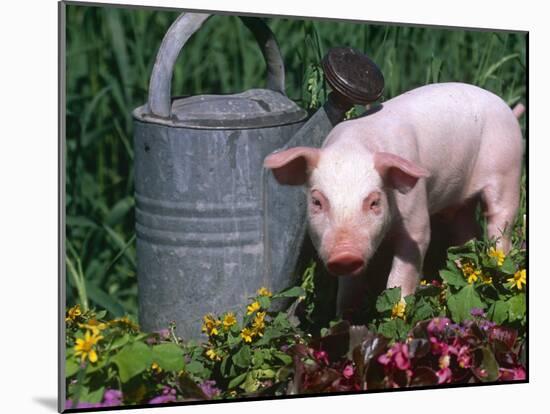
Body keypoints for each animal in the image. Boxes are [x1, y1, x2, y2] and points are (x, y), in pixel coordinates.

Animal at [266, 81, 528, 308]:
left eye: (374, 201)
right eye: (317, 202)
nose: (345, 254)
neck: (353, 147)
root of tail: (506, 107)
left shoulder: (417, 217)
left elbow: (403, 272)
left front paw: (397, 314)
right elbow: (348, 289)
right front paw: (344, 320)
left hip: (508, 169)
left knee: (499, 221)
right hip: (461, 201)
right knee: (465, 234)